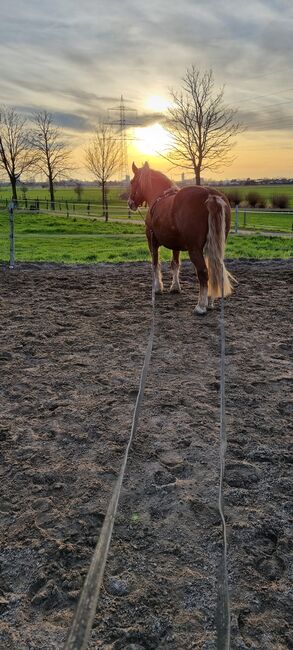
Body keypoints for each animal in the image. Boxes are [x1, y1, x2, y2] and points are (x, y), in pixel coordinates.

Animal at [128, 162, 233, 314]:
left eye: (132, 181)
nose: (130, 203)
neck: (159, 196)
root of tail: (210, 195)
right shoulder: (175, 245)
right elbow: (175, 264)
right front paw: (175, 287)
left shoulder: (152, 241)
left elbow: (155, 264)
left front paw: (158, 288)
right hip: (214, 247)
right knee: (214, 269)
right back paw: (210, 302)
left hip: (194, 249)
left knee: (203, 272)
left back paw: (200, 306)